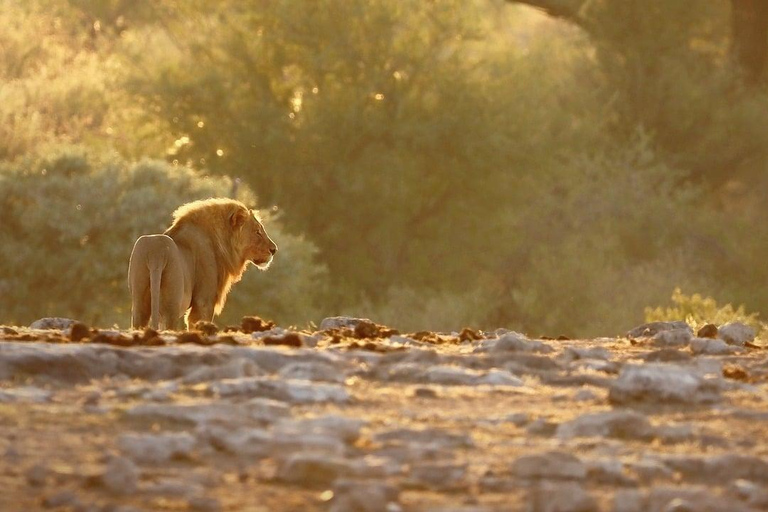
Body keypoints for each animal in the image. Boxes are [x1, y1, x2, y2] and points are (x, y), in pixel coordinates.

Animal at [127, 198, 278, 330]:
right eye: (257, 231)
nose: (274, 249)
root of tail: (156, 253)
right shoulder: (204, 301)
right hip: (171, 305)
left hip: (139, 303)